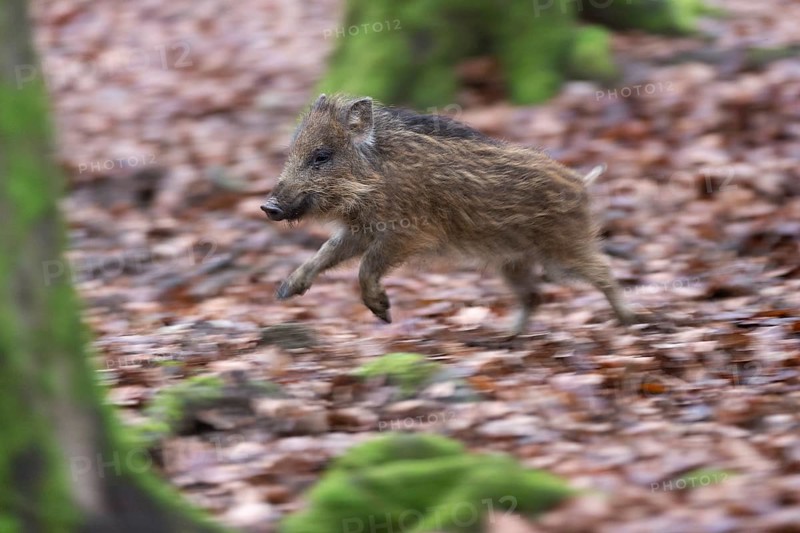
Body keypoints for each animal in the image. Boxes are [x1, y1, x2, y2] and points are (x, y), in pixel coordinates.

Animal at [262, 94, 638, 334]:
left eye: (321, 156)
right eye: (291, 153)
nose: (268, 206)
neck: (375, 176)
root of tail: (582, 183)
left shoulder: (410, 232)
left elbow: (366, 267)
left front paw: (384, 315)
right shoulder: (360, 230)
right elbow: (325, 253)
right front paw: (284, 291)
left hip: (563, 249)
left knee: (603, 272)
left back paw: (631, 320)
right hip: (513, 261)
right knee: (534, 296)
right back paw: (507, 337)